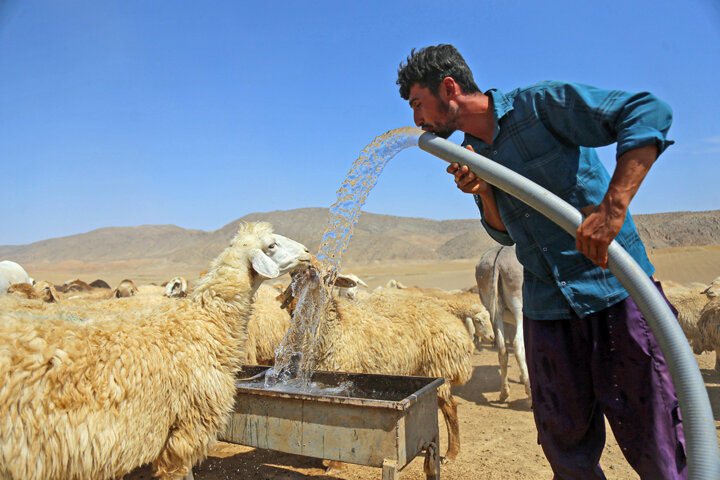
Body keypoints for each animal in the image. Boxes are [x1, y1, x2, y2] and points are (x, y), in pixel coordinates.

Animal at [282, 266, 478, 464]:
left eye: (330, 278)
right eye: (294, 277)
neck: (337, 326)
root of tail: (452, 320)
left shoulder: (342, 374)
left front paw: (334, 463)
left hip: (439, 368)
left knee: (450, 407)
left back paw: (451, 454)